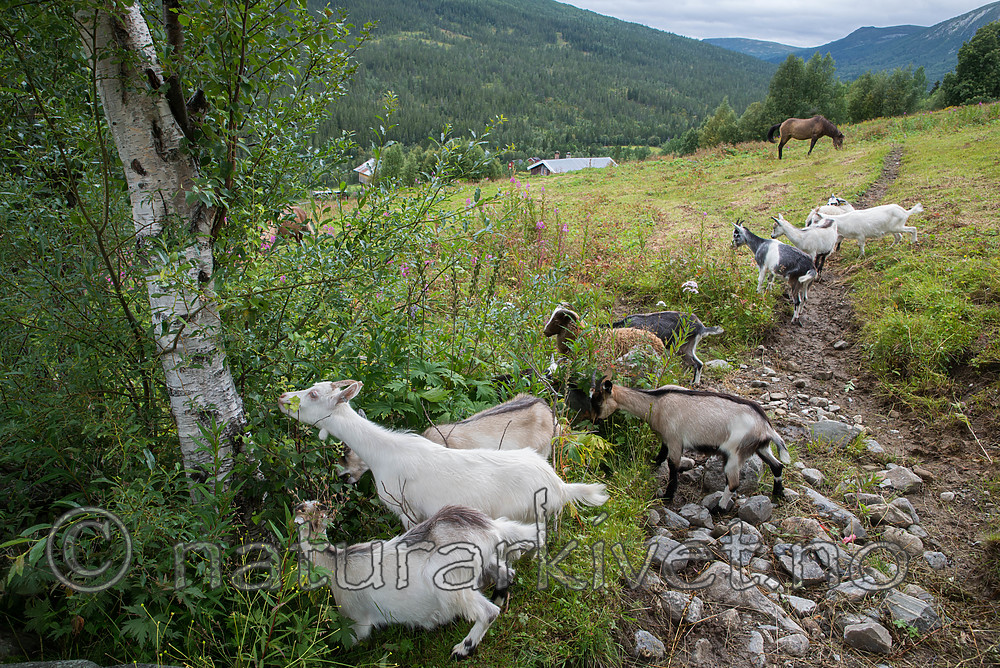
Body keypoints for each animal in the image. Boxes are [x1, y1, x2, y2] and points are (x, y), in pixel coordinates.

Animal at [295, 501, 535, 659]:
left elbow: (351, 640)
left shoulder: (356, 618)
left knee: (488, 612)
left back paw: (462, 649)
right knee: (506, 573)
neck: (335, 562)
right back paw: (499, 598)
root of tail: (492, 528)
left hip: (450, 584)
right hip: (484, 562)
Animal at [590, 378, 790, 511]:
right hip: (761, 447)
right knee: (777, 466)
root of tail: (766, 427)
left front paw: (668, 496)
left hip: (735, 453)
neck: (656, 403)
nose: (593, 421)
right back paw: (778, 493)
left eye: (598, 401)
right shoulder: (667, 438)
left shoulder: (675, 439)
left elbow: (673, 465)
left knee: (733, 484)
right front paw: (652, 464)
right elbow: (661, 454)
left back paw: (719, 509)